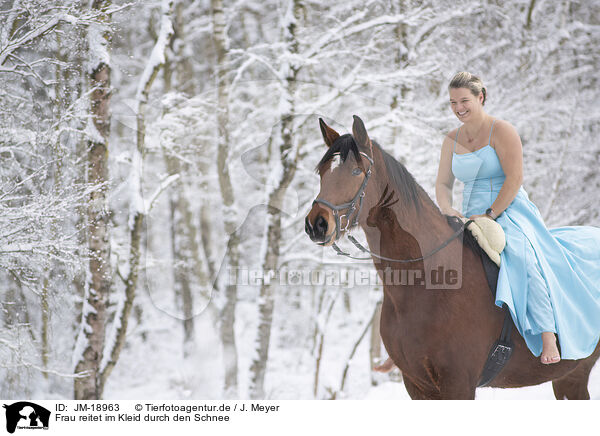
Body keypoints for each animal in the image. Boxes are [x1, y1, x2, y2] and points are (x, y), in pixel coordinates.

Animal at [308, 115, 596, 398]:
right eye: (321, 172)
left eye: (356, 171)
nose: (316, 224)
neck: (428, 281)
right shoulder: (417, 385)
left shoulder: (458, 384)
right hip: (571, 376)